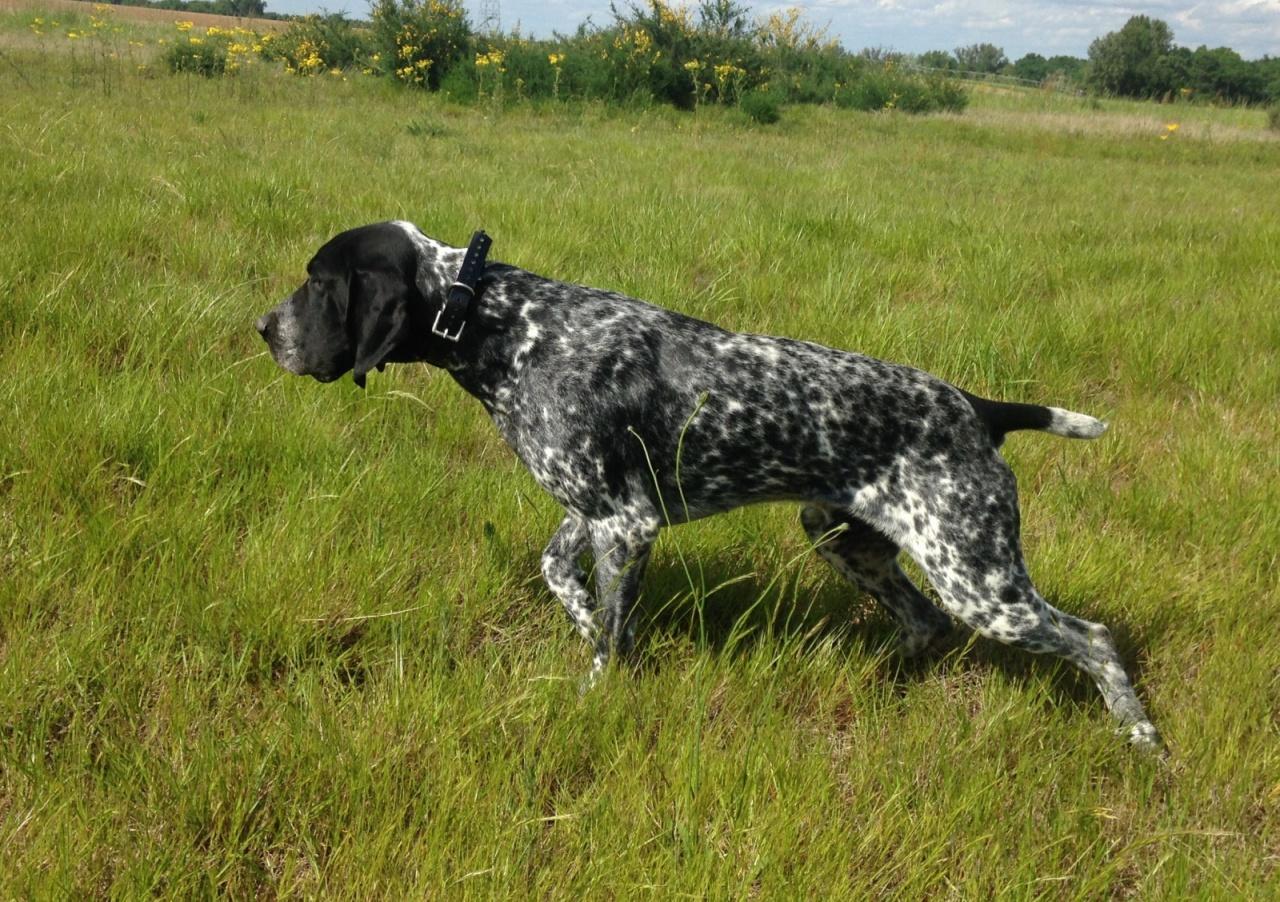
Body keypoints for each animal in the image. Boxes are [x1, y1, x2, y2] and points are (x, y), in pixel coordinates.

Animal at [254, 217, 1167, 747]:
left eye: (319, 283)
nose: (263, 328)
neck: (502, 325)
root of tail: (977, 407)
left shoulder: (624, 523)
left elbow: (609, 637)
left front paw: (596, 688)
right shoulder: (594, 513)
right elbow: (562, 579)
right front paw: (582, 622)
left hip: (978, 578)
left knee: (1093, 640)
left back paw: (1141, 739)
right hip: (848, 541)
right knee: (922, 625)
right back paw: (873, 685)